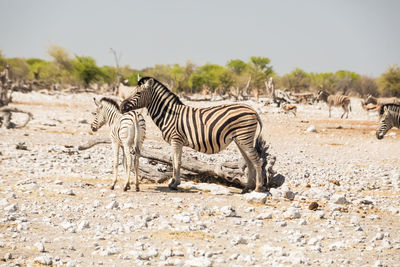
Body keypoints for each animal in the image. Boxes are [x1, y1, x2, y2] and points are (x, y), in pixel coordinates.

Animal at [119, 77, 268, 193]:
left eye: (138, 93)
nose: (121, 106)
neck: (169, 115)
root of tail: (253, 110)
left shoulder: (176, 139)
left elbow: (176, 161)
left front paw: (174, 184)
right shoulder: (177, 141)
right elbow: (176, 160)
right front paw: (174, 182)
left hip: (244, 137)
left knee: (257, 160)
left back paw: (257, 188)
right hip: (240, 140)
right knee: (249, 162)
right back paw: (246, 188)